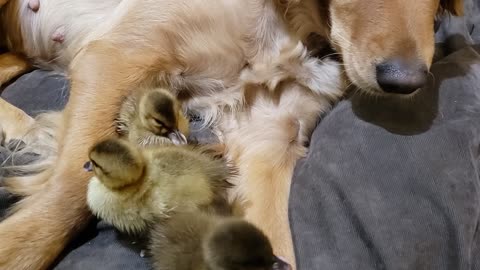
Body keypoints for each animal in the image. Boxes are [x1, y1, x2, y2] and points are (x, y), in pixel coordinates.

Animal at [0, 0, 462, 270]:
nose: (406, 82)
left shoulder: (267, 140)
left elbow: (273, 234)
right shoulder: (120, 53)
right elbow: (69, 190)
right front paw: (15, 249)